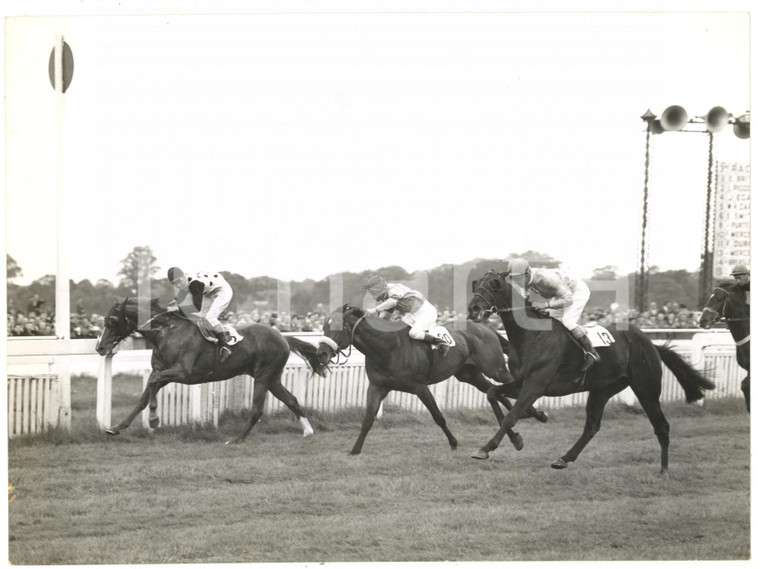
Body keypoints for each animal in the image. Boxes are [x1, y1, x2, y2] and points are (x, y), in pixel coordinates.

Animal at [95, 298, 332, 444]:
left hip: (263, 377)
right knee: (291, 399)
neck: (166, 332)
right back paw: (308, 431)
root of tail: (283, 336)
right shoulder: (162, 371)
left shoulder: (183, 372)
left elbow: (152, 385)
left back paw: (236, 440)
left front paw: (154, 419)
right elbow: (144, 396)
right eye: (104, 320)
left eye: (112, 321)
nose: (100, 347)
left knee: (257, 410)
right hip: (272, 378)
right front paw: (116, 427)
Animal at [320, 304, 548, 454]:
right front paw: (355, 449)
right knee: (496, 392)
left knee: (514, 387)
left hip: (495, 368)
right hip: (469, 375)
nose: (321, 353)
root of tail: (485, 326)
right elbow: (368, 420)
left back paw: (535, 414)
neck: (387, 346)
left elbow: (438, 416)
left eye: (337, 327)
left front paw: (453, 442)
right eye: (323, 327)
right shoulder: (378, 386)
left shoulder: (419, 387)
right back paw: (522, 426)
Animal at [466, 270, 716, 474]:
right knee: (592, 426)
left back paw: (664, 471)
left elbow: (512, 415)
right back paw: (564, 459)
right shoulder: (521, 383)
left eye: (494, 284)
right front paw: (522, 433)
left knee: (661, 426)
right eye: (476, 283)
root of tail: (650, 343)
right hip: (602, 389)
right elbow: (493, 394)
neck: (532, 335)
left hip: (646, 388)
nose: (473, 308)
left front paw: (486, 448)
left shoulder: (536, 384)